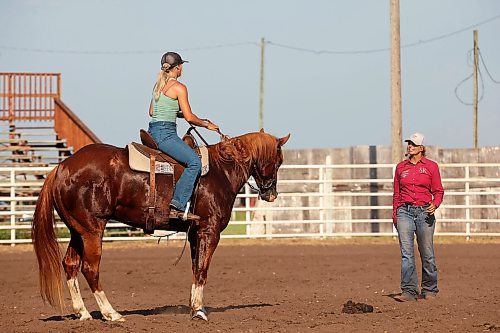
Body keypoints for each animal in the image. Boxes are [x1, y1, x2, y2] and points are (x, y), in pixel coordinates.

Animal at [31, 128, 290, 320]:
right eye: (278, 161)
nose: (271, 194)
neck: (220, 171)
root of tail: (61, 168)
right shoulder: (209, 231)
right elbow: (202, 269)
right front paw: (199, 312)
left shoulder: (195, 233)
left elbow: (195, 268)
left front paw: (195, 306)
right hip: (92, 230)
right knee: (90, 268)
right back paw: (111, 313)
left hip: (77, 231)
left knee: (70, 264)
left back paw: (83, 313)